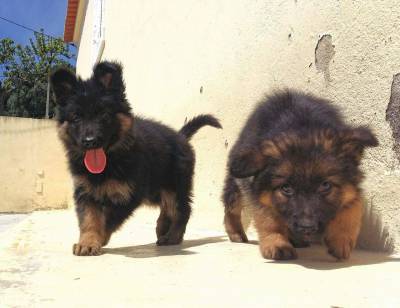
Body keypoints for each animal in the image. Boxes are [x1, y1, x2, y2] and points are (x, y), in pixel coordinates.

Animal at [50, 61, 222, 256]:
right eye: (76, 117)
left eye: (104, 115)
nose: (90, 141)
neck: (110, 160)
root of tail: (181, 136)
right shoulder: (86, 192)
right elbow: (89, 219)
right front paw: (88, 242)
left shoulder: (128, 195)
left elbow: (108, 219)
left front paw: (100, 238)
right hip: (157, 189)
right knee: (167, 207)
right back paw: (162, 228)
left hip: (174, 186)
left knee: (182, 209)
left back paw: (173, 237)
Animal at [222, 89, 378, 260]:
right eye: (286, 188)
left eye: (325, 185)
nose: (306, 228)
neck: (302, 128)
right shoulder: (257, 191)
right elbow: (268, 219)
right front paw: (277, 244)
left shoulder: (353, 187)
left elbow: (352, 208)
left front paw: (341, 239)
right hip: (237, 179)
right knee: (231, 208)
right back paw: (236, 233)